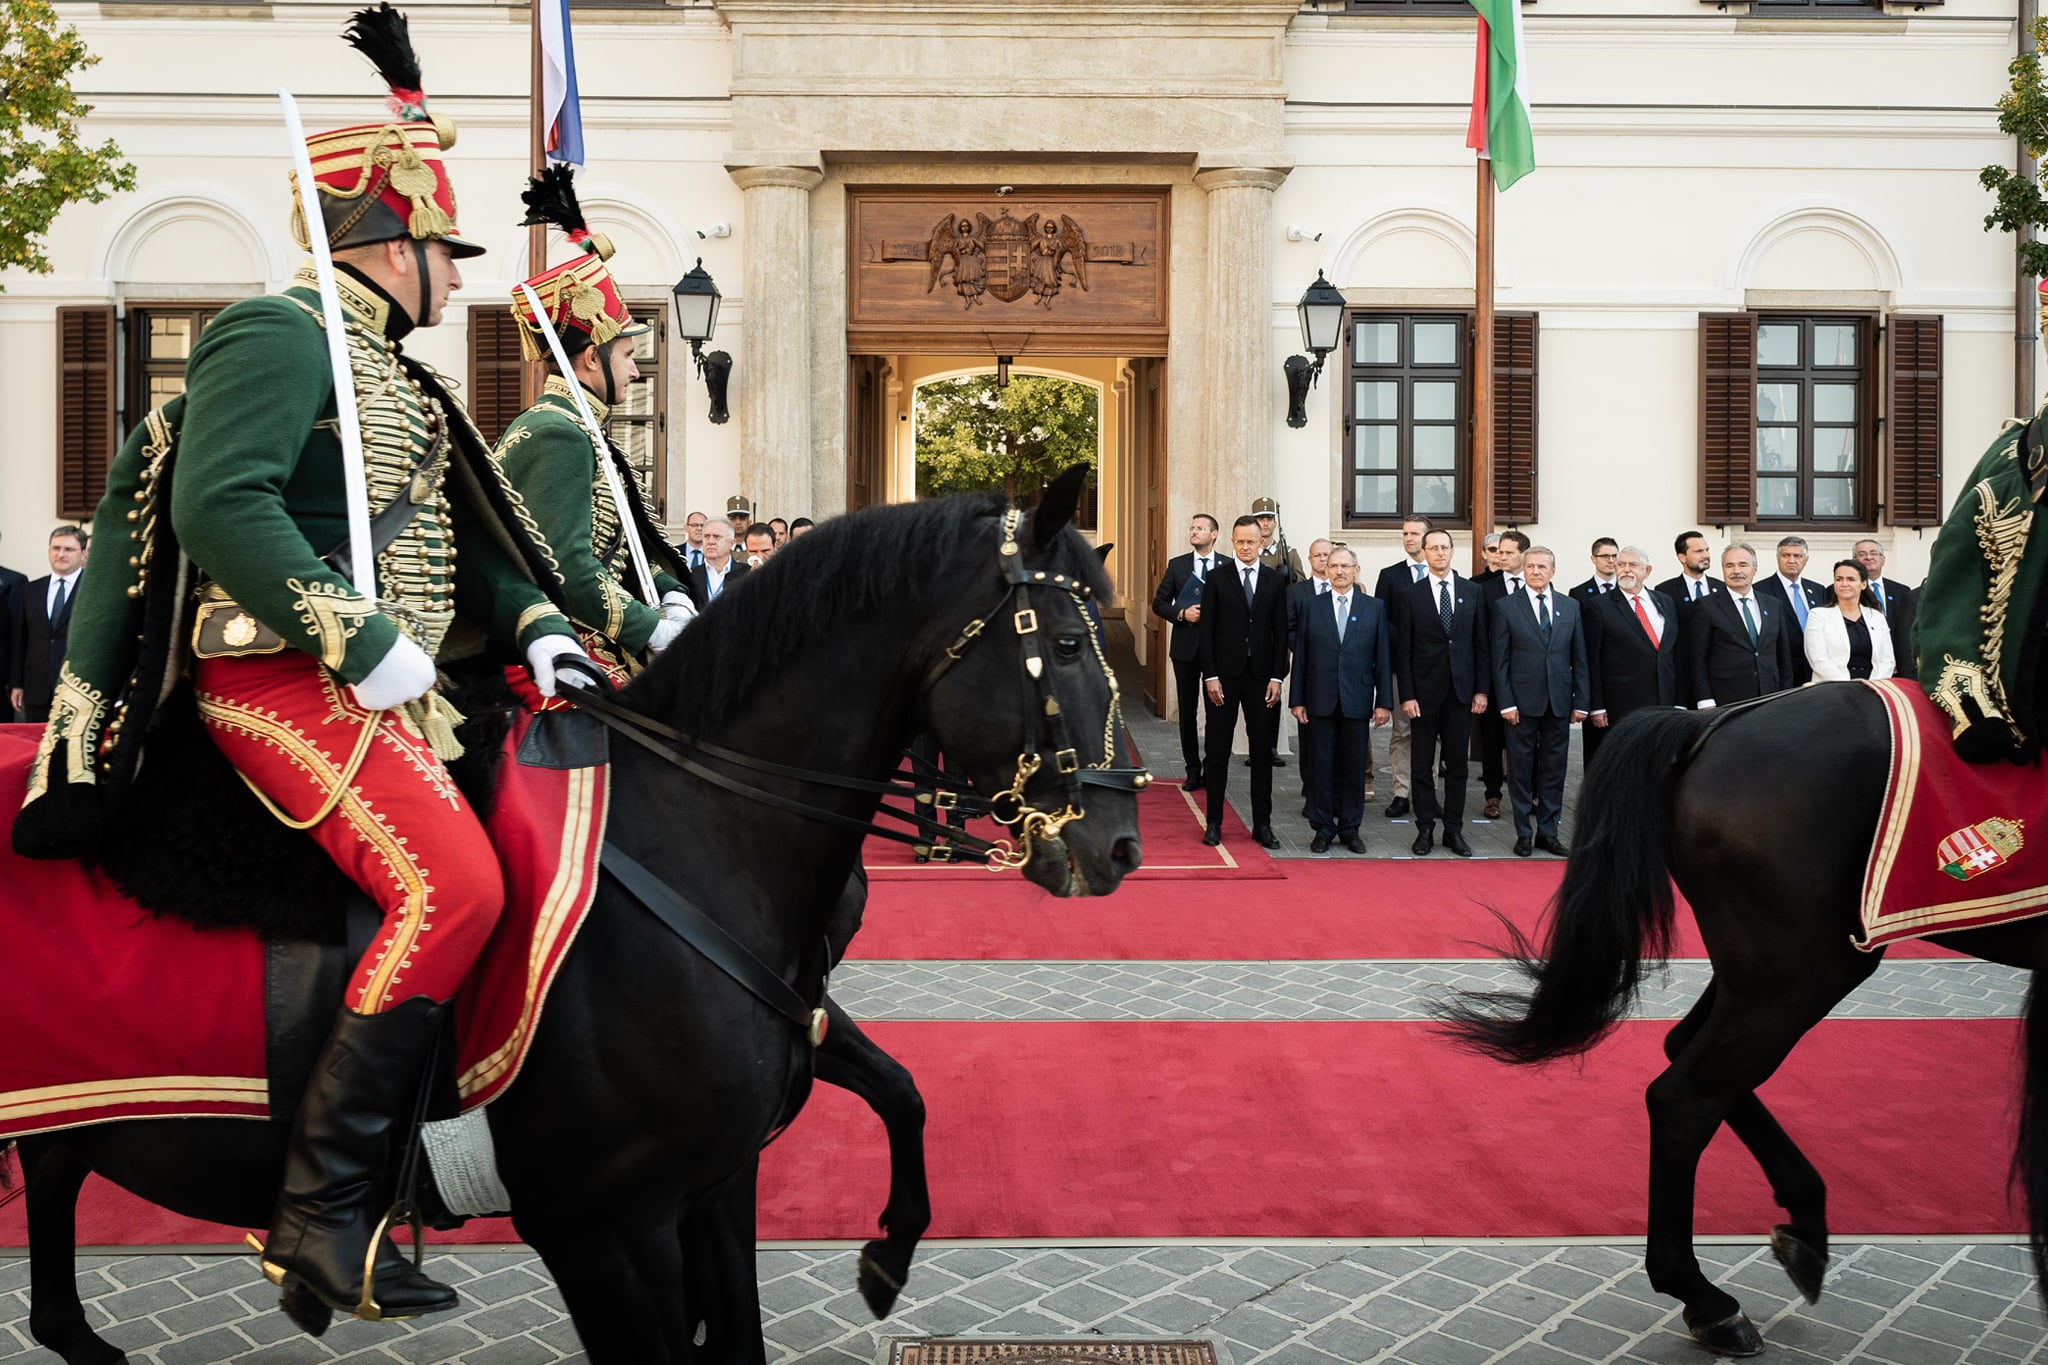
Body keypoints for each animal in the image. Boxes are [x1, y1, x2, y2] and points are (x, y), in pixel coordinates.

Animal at [0, 472, 1138, 1365]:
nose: (1120, 844)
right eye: (1066, 640)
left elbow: (897, 1095)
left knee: (51, 1189)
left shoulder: (719, 1173)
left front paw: (887, 1254)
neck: (691, 831)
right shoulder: (602, 1229)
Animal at [1433, 687, 2048, 1358]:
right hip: (1803, 967)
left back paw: (1800, 1226)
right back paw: (1709, 1300)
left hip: (1761, 967)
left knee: (1687, 1054)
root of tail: (1714, 720)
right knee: (1686, 1096)